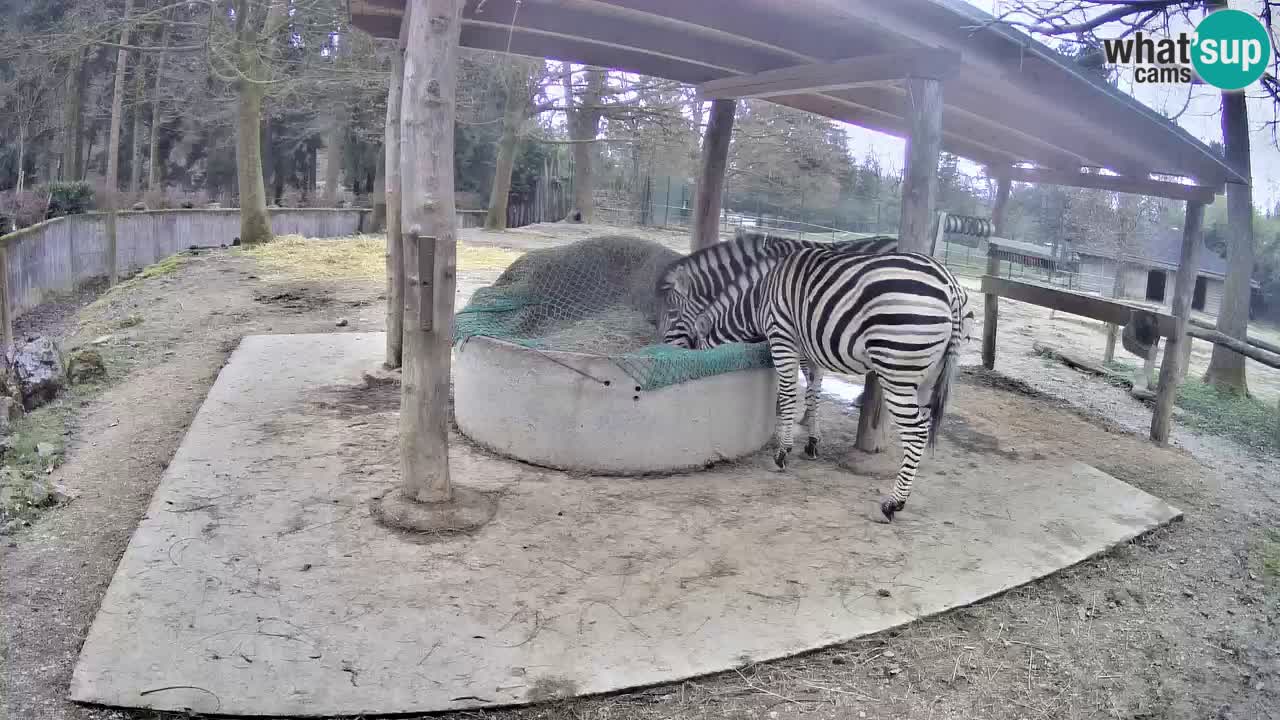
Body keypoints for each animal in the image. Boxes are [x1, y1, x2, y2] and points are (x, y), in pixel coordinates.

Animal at [659, 246, 974, 523]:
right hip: (928, 374)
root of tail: (949, 285)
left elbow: (789, 393)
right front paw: (811, 443)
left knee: (917, 432)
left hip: (896, 368)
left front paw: (783, 452)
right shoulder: (812, 349)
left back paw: (892, 504)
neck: (759, 299)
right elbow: (814, 393)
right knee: (922, 428)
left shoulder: (783, 338)